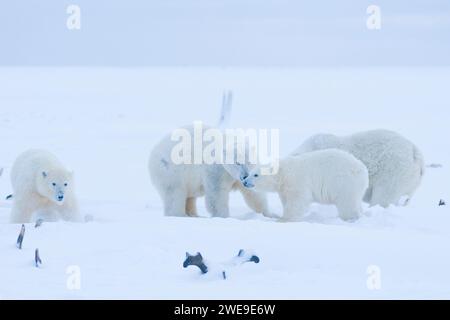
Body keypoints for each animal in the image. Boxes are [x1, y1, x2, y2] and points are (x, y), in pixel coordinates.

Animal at [237, 149, 368, 221]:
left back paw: (350, 218)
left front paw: (284, 220)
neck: (283, 173)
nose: (245, 182)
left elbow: (297, 201)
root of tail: (362, 170)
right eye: (250, 173)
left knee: (347, 203)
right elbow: (286, 200)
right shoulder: (284, 189)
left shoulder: (297, 181)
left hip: (344, 182)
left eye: (256, 175)